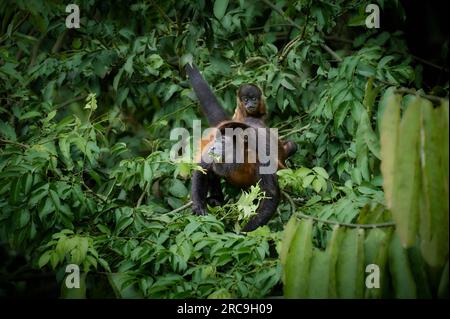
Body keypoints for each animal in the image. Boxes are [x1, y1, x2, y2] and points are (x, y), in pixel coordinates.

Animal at [185, 63, 298, 232]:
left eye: (223, 142)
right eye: (215, 141)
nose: (212, 148)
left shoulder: (262, 155)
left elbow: (270, 194)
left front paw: (243, 232)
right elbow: (202, 169)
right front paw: (199, 207)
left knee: (292, 146)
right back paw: (217, 199)